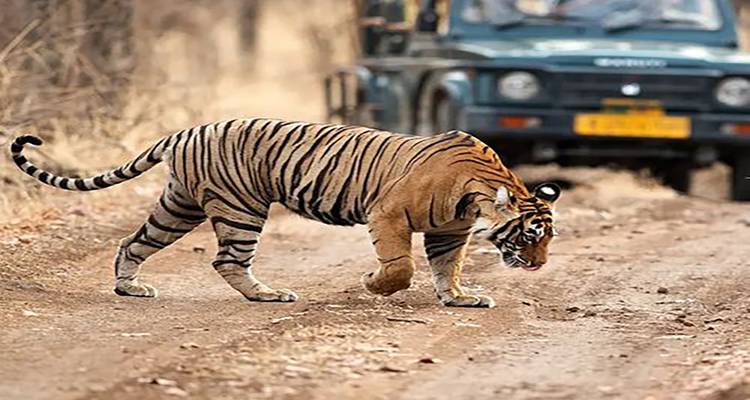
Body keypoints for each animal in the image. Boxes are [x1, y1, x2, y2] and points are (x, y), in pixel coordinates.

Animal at [10, 119, 560, 308]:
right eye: (530, 235)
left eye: (546, 238)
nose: (539, 267)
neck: (481, 192)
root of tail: (186, 130)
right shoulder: (387, 214)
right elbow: (401, 266)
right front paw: (373, 283)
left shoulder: (450, 232)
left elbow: (448, 267)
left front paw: (460, 298)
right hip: (241, 208)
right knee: (228, 259)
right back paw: (268, 295)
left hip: (179, 206)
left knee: (133, 242)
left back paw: (130, 287)